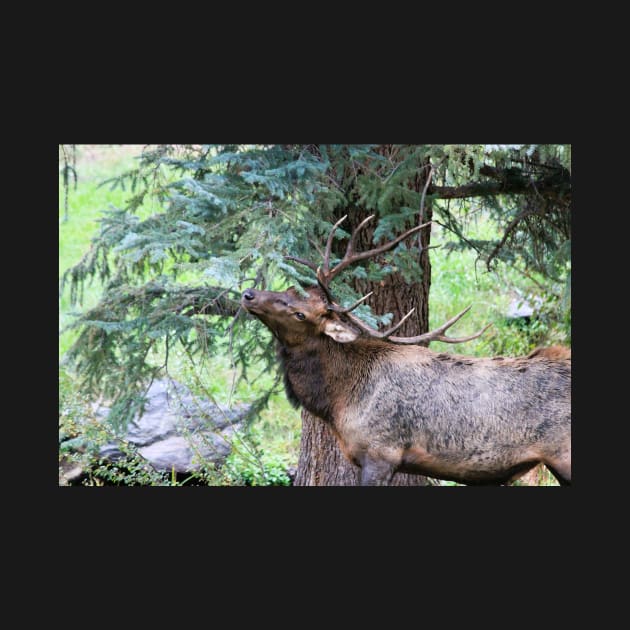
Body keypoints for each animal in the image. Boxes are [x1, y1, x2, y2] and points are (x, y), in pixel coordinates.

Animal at [242, 217, 572, 488]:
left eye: (300, 314)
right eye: (289, 289)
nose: (248, 294)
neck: (338, 401)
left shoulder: (380, 453)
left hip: (564, 456)